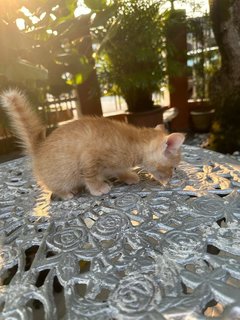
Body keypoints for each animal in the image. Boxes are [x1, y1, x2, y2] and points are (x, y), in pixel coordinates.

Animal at [0, 90, 185, 199]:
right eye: (174, 167)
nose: (171, 177)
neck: (132, 142)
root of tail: (38, 148)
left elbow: (118, 170)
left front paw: (128, 176)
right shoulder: (89, 156)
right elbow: (90, 175)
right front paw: (98, 188)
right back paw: (66, 193)